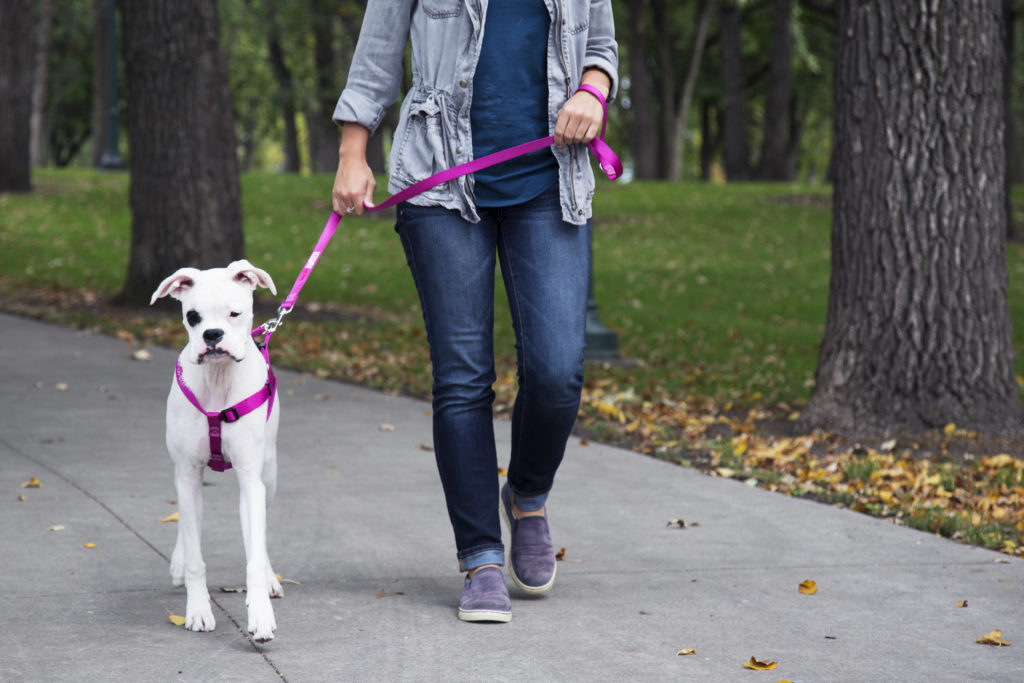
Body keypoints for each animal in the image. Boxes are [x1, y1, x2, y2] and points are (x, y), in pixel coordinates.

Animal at [149, 259, 282, 643]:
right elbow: (196, 555)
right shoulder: (189, 475)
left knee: (259, 535)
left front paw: (261, 616)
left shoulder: (251, 480)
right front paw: (197, 610)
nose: (212, 335)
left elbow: (255, 552)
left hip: (269, 475)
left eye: (234, 313)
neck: (220, 379)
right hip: (184, 478)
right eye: (192, 316)